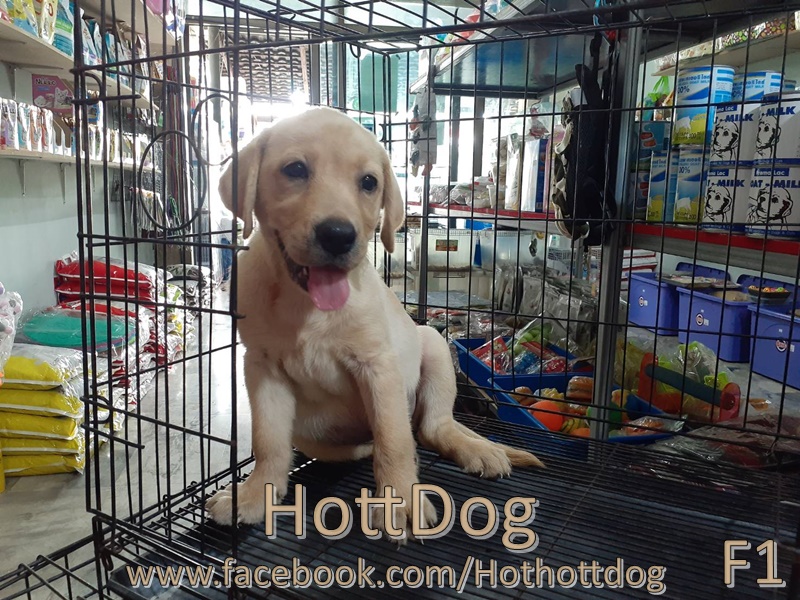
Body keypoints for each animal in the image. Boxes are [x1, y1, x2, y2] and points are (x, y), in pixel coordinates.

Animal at [205, 107, 544, 541]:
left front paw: (399, 500)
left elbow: (394, 439)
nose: (338, 235)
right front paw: (254, 493)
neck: (306, 306)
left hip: (433, 345)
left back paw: (478, 449)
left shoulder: (378, 366)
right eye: (295, 169)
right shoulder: (261, 366)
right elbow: (269, 441)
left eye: (369, 182)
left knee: (431, 428)